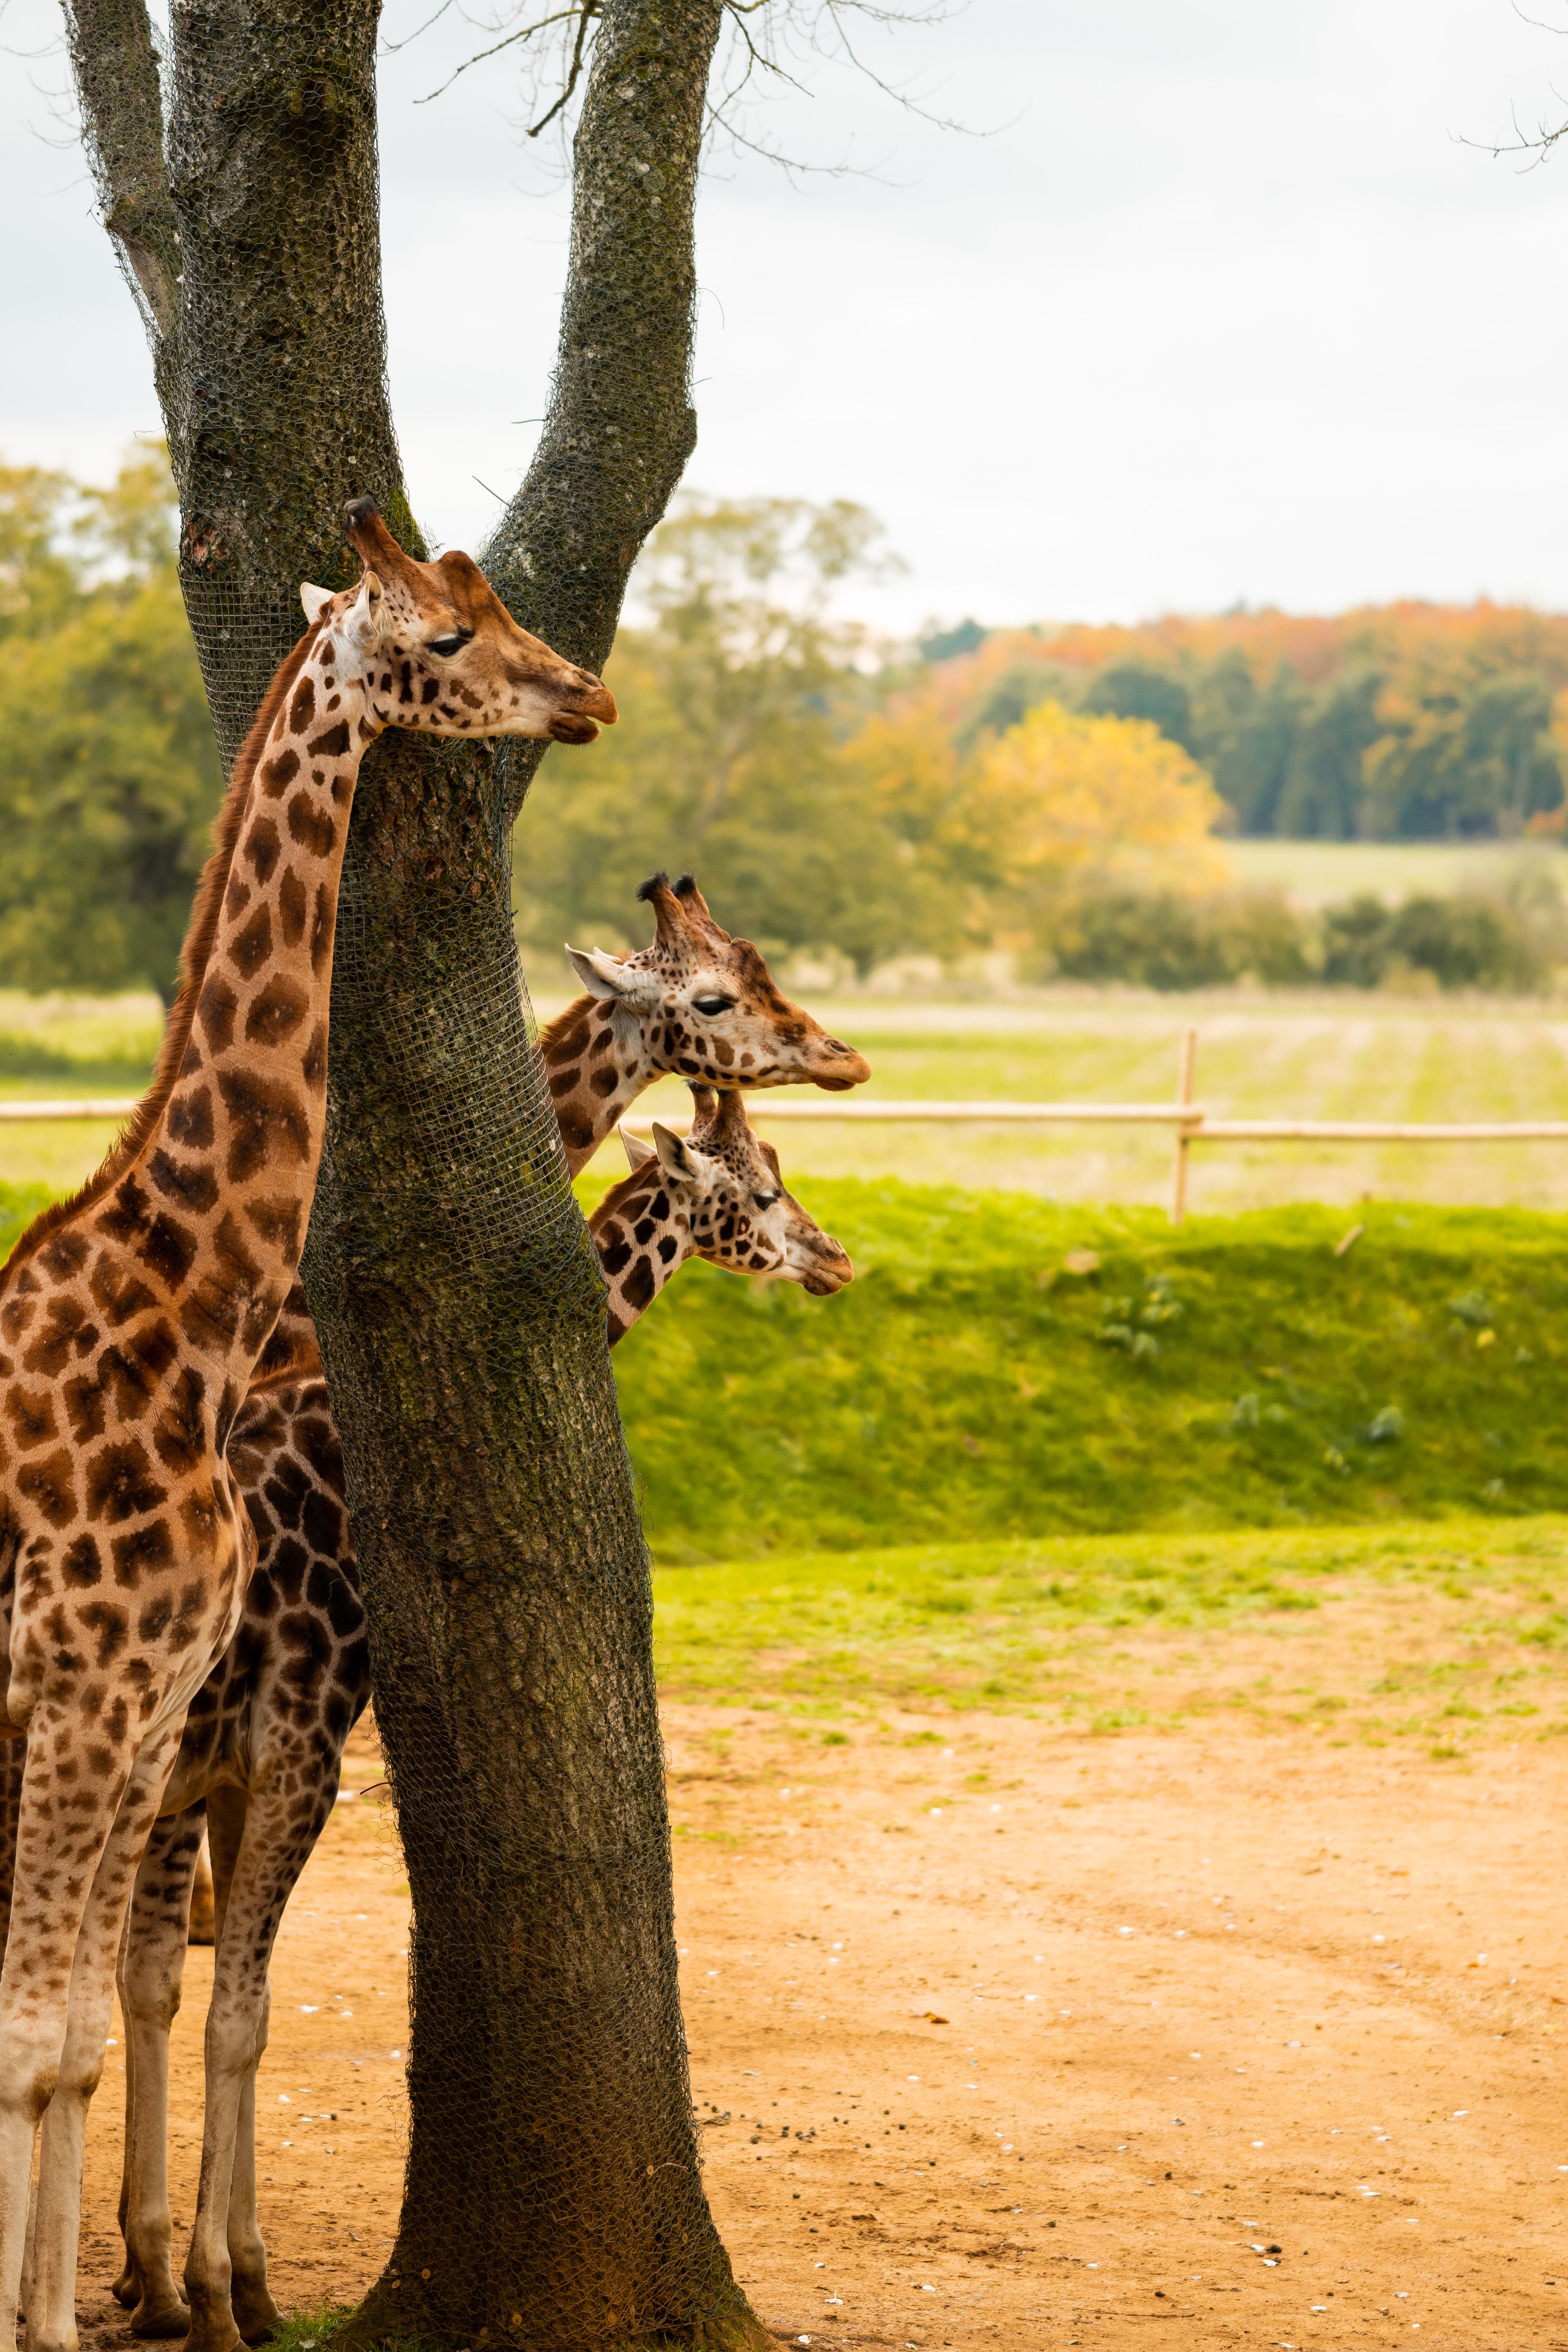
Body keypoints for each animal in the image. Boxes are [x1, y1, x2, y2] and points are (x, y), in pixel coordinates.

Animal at [0, 495, 615, 2352]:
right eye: (446, 637)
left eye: (498, 603)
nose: (584, 694)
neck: (191, 1309)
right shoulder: (88, 1695)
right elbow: (37, 2038)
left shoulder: (138, 1721)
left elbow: (70, 2036)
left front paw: (86, 2304)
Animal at [107, 1088, 851, 2343]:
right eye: (759, 1188)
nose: (835, 1258)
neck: (329, 1455)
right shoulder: (297, 1749)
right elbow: (233, 2014)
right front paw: (212, 2292)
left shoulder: (212, 1777)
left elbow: (173, 1994)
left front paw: (195, 2277)